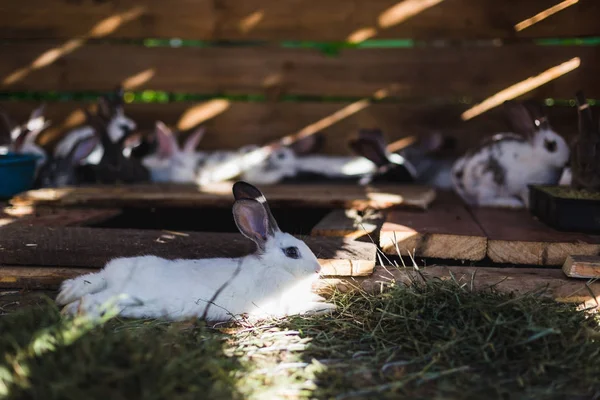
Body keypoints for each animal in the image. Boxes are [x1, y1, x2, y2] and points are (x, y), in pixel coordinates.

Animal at [56, 181, 336, 322]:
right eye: (292, 252)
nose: (317, 270)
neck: (272, 266)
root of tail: (110, 275)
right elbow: (303, 306)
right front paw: (327, 305)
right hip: (124, 293)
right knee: (91, 299)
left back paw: (66, 306)